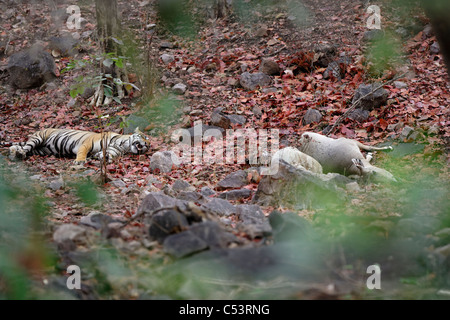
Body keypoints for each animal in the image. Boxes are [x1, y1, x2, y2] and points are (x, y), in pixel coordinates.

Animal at [8, 127, 150, 164]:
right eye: (145, 137)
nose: (148, 145)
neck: (123, 144)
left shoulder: (110, 150)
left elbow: (105, 155)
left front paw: (104, 159)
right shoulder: (86, 144)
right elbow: (82, 153)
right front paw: (80, 161)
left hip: (41, 151)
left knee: (26, 149)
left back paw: (15, 152)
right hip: (38, 138)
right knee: (26, 147)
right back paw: (18, 153)